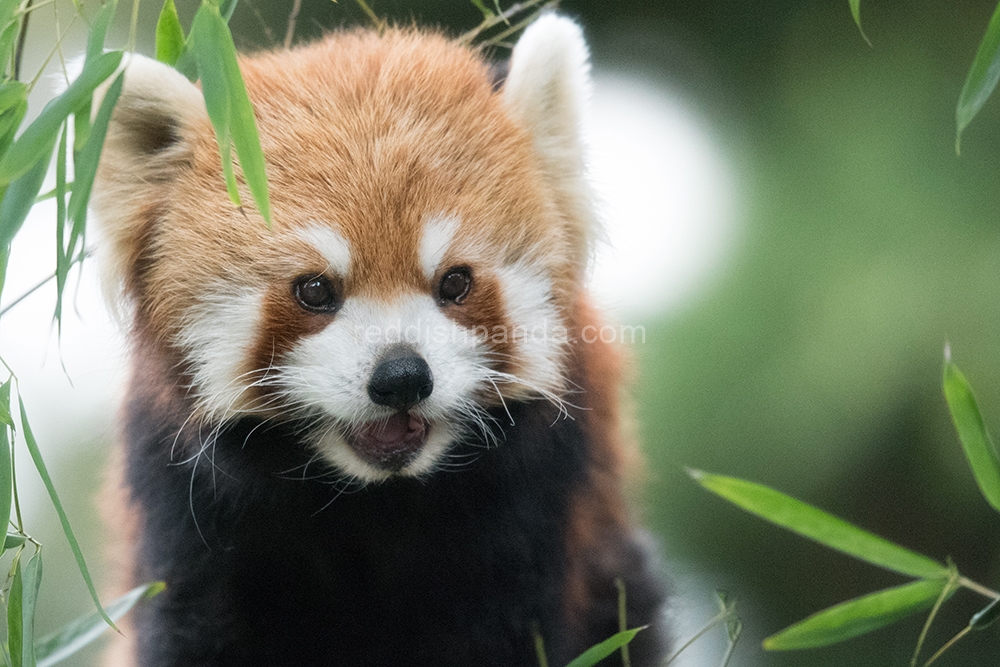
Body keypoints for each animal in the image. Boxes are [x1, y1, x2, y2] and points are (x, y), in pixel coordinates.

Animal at [94, 13, 668, 664]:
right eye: (315, 289)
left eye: (455, 282)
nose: (401, 378)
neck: (374, 501)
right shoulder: (191, 516)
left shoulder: (533, 514)